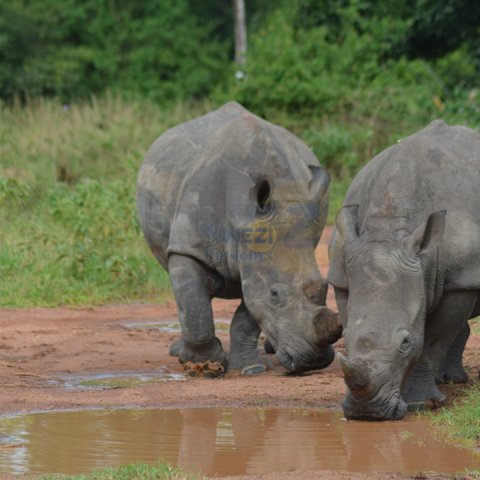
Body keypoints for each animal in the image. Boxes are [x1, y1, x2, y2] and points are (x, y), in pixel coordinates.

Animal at [137, 103, 344, 376]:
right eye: (274, 294)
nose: (314, 361)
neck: (242, 217)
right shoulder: (188, 247)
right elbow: (194, 307)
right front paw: (205, 366)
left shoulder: (255, 256)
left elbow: (248, 314)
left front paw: (250, 369)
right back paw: (179, 353)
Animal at [328, 120, 480, 420]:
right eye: (344, 338)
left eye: (405, 342)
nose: (367, 412)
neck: (389, 228)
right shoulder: (342, 273)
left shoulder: (460, 280)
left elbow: (431, 341)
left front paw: (421, 404)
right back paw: (449, 380)